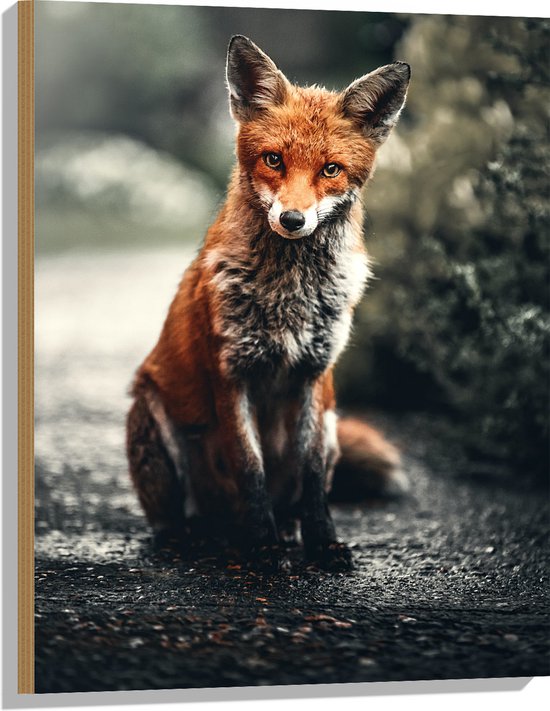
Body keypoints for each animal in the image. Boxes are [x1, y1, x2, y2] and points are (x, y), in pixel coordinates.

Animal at [126, 35, 410, 572]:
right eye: (274, 160)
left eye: (330, 169)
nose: (293, 220)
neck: (289, 295)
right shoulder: (231, 374)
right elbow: (250, 468)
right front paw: (263, 547)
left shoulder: (315, 377)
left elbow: (313, 477)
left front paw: (322, 543)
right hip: (152, 417)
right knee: (176, 519)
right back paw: (196, 537)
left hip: (333, 423)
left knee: (295, 496)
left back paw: (286, 530)